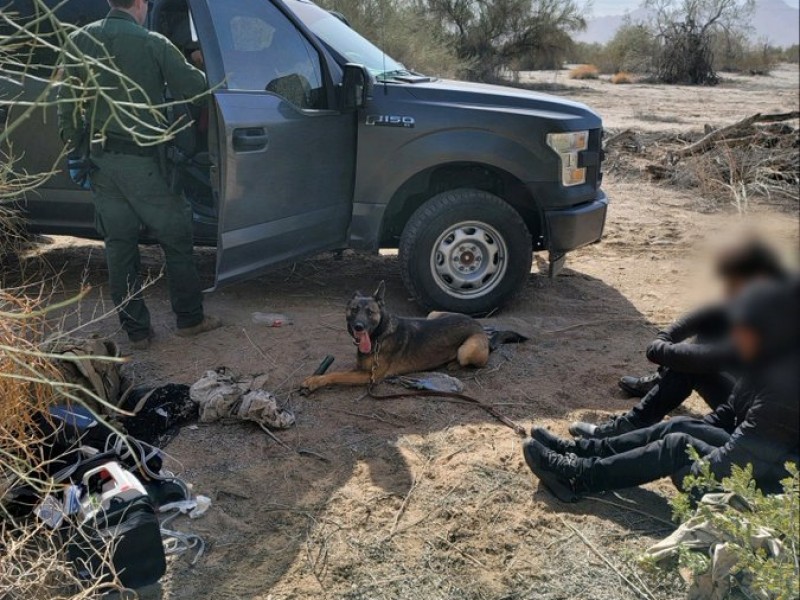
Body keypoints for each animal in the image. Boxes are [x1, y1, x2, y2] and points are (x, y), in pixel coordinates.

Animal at [304, 282, 496, 394]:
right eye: (354, 310)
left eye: (370, 312)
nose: (359, 326)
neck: (379, 335)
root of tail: (476, 323)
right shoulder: (360, 369)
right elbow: (338, 371)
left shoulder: (370, 376)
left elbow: (336, 374)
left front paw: (314, 381)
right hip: (433, 314)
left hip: (466, 350)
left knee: (476, 361)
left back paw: (454, 363)